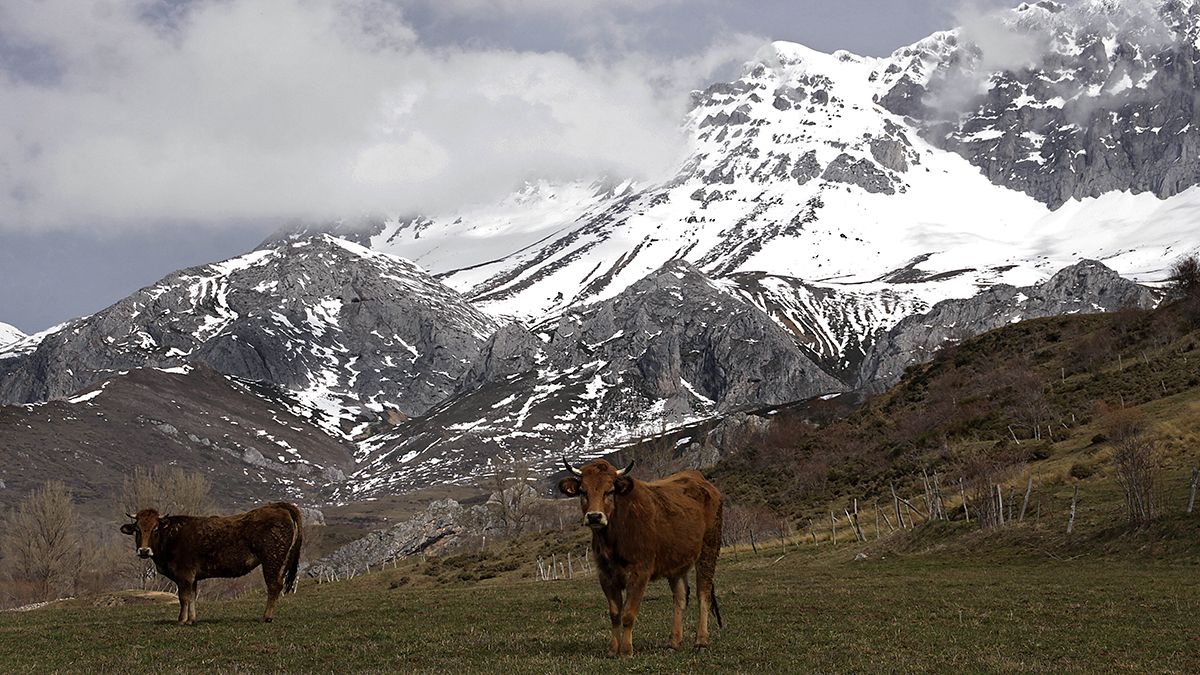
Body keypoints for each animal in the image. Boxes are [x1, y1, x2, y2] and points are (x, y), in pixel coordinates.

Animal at [118, 502, 302, 624]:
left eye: (155, 529)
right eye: (137, 529)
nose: (144, 550)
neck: (172, 536)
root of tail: (278, 506)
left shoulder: (184, 575)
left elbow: (183, 598)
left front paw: (181, 620)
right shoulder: (192, 577)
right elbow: (192, 597)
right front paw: (191, 620)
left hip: (272, 560)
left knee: (274, 586)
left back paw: (266, 617)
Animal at [559, 454, 720, 653]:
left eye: (609, 491)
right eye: (583, 492)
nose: (594, 516)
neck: (612, 539)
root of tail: (700, 479)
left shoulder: (639, 573)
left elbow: (628, 614)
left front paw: (626, 650)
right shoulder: (605, 575)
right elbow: (615, 614)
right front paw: (613, 649)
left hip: (709, 550)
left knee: (703, 594)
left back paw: (701, 641)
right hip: (676, 562)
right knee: (681, 598)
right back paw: (674, 643)